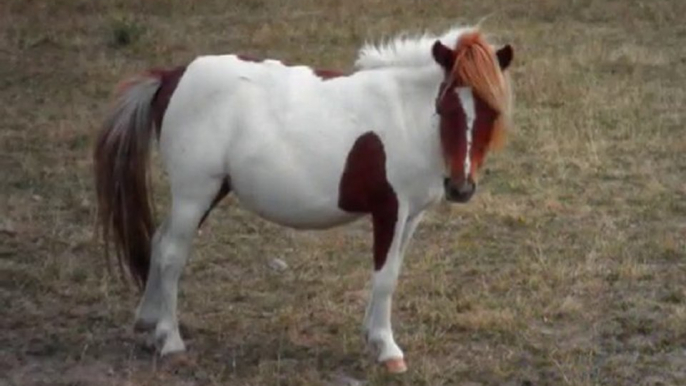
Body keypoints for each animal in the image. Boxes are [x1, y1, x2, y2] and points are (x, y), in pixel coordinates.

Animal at [95, 24, 516, 374]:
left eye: (492, 112)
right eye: (445, 106)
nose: (460, 188)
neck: (405, 117)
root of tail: (171, 76)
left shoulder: (410, 217)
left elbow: (391, 272)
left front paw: (374, 338)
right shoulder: (390, 211)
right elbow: (384, 278)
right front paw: (387, 350)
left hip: (205, 193)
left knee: (159, 240)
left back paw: (147, 323)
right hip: (194, 192)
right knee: (171, 255)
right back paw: (171, 341)